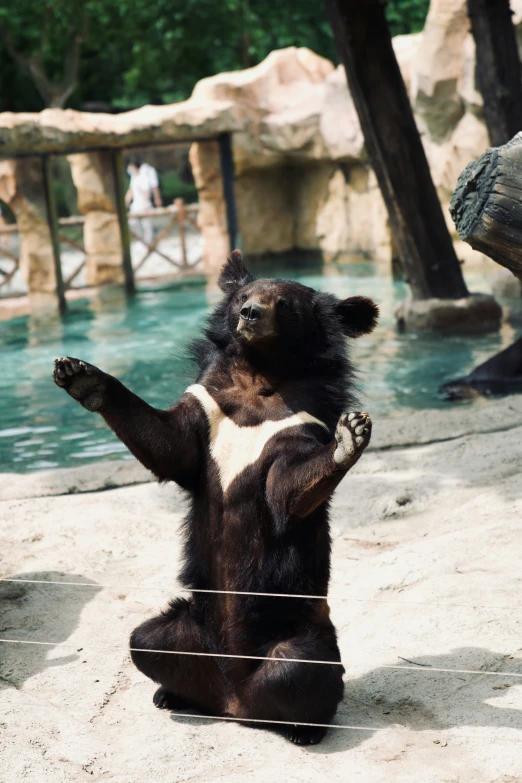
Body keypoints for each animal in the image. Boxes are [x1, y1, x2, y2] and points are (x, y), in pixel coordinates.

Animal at [52, 253, 378, 748]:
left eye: (284, 304)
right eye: (244, 296)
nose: (250, 314)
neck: (259, 377)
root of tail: (234, 702)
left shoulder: (300, 420)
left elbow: (284, 489)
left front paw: (350, 434)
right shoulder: (207, 402)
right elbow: (168, 444)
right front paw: (80, 375)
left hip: (296, 623)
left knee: (298, 669)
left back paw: (303, 730)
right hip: (190, 626)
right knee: (146, 640)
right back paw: (171, 695)